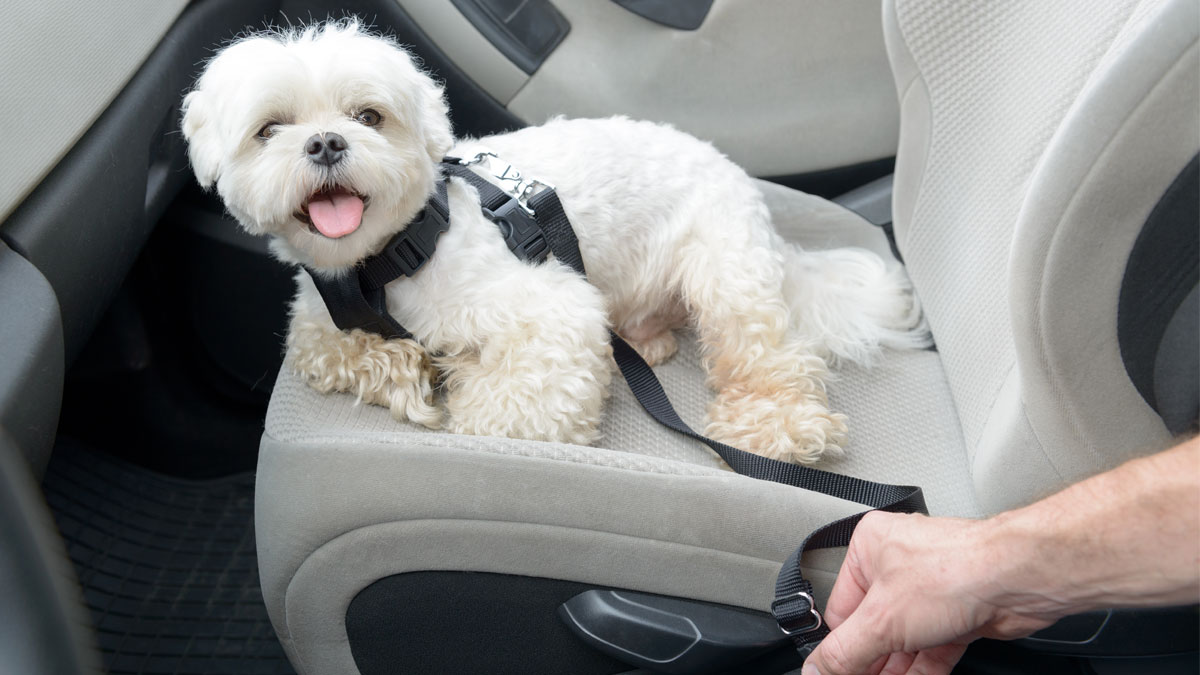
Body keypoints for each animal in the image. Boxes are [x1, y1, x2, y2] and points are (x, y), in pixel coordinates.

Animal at [180, 19, 926, 461]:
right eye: (270, 129)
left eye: (369, 116)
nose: (327, 142)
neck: (389, 257)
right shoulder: (316, 322)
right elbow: (328, 348)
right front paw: (408, 372)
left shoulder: (552, 311)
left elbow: (508, 414)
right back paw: (647, 338)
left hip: (726, 273)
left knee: (770, 357)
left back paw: (779, 425)